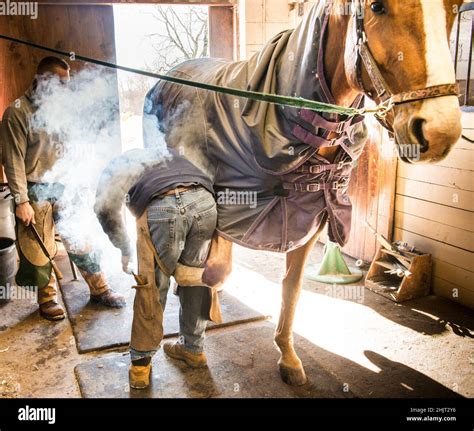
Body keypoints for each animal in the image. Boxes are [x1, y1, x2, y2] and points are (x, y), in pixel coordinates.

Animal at [144, 0, 462, 384]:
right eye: (377, 6)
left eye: (455, 9)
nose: (441, 131)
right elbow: (210, 270)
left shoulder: (309, 218)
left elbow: (291, 287)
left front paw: (288, 356)